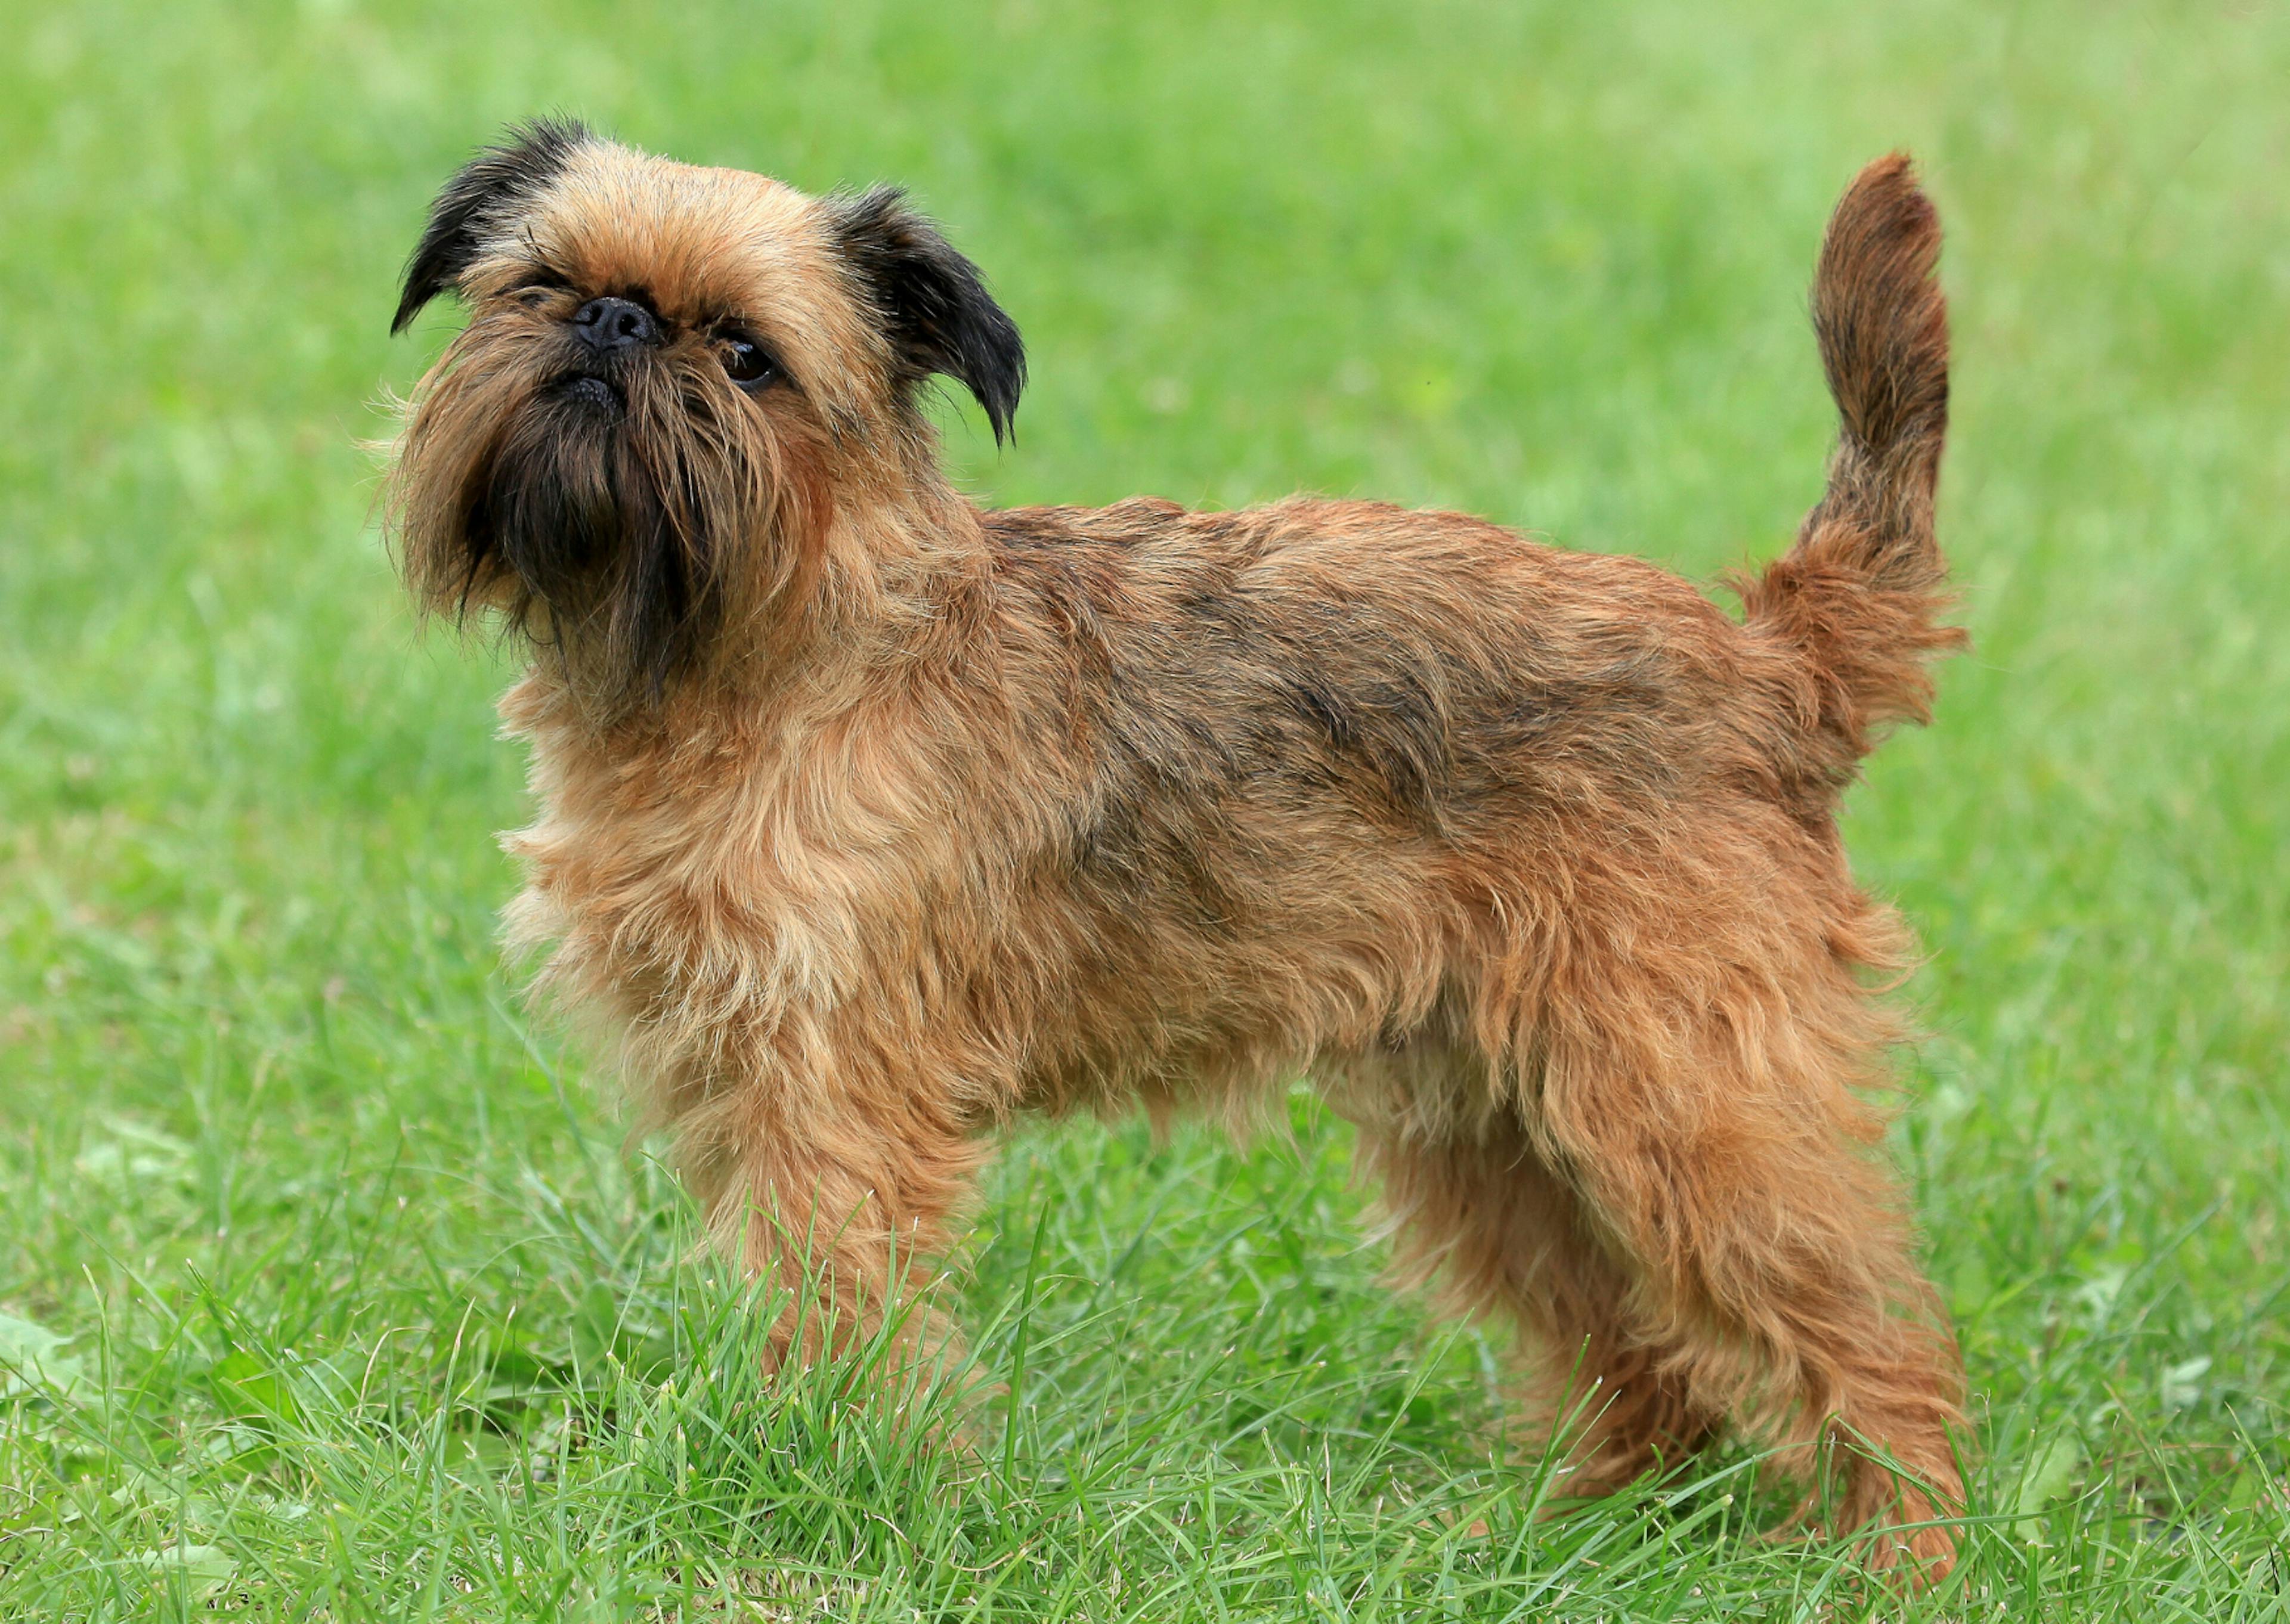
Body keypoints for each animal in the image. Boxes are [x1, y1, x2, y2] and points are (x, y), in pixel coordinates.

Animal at [389, 123, 1969, 1566]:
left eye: (744, 354)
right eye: (539, 285)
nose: (612, 324)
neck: (768, 650)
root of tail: (1766, 663)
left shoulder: (831, 1095)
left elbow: (836, 1302)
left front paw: (831, 1485)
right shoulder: (735, 1080)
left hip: (1689, 1105)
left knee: (1873, 1341)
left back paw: (1899, 1560)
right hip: (1491, 1128)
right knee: (1639, 1351)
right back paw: (1564, 1535)